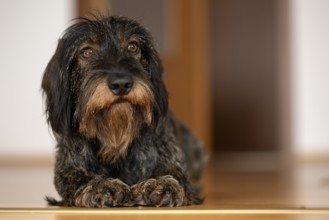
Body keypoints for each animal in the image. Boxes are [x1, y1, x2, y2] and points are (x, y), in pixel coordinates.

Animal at [41, 15, 205, 208]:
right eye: (86, 52)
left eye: (133, 47)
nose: (121, 84)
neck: (116, 141)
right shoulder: (68, 172)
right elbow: (79, 182)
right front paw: (102, 186)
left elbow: (176, 175)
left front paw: (163, 184)